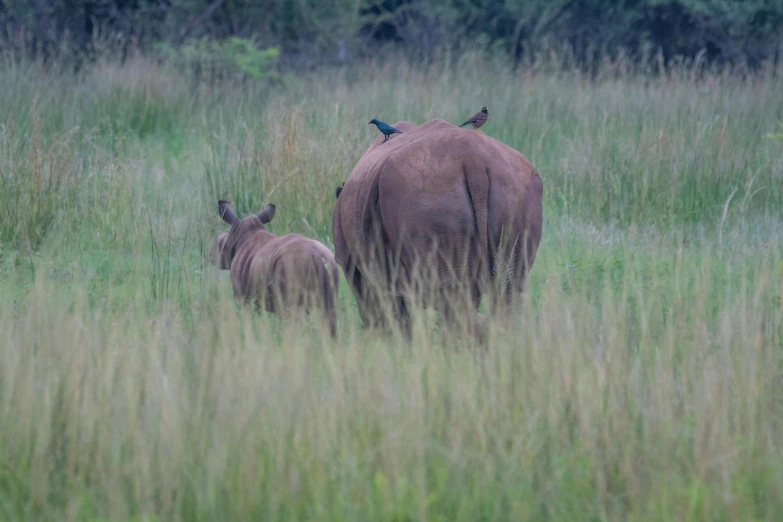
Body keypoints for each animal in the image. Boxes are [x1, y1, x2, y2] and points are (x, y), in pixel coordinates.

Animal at [210, 197, 342, 336]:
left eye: (219, 244)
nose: (210, 254)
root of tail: (316, 255)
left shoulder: (244, 298)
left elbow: (249, 321)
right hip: (330, 264)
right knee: (330, 314)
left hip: (292, 266)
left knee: (292, 319)